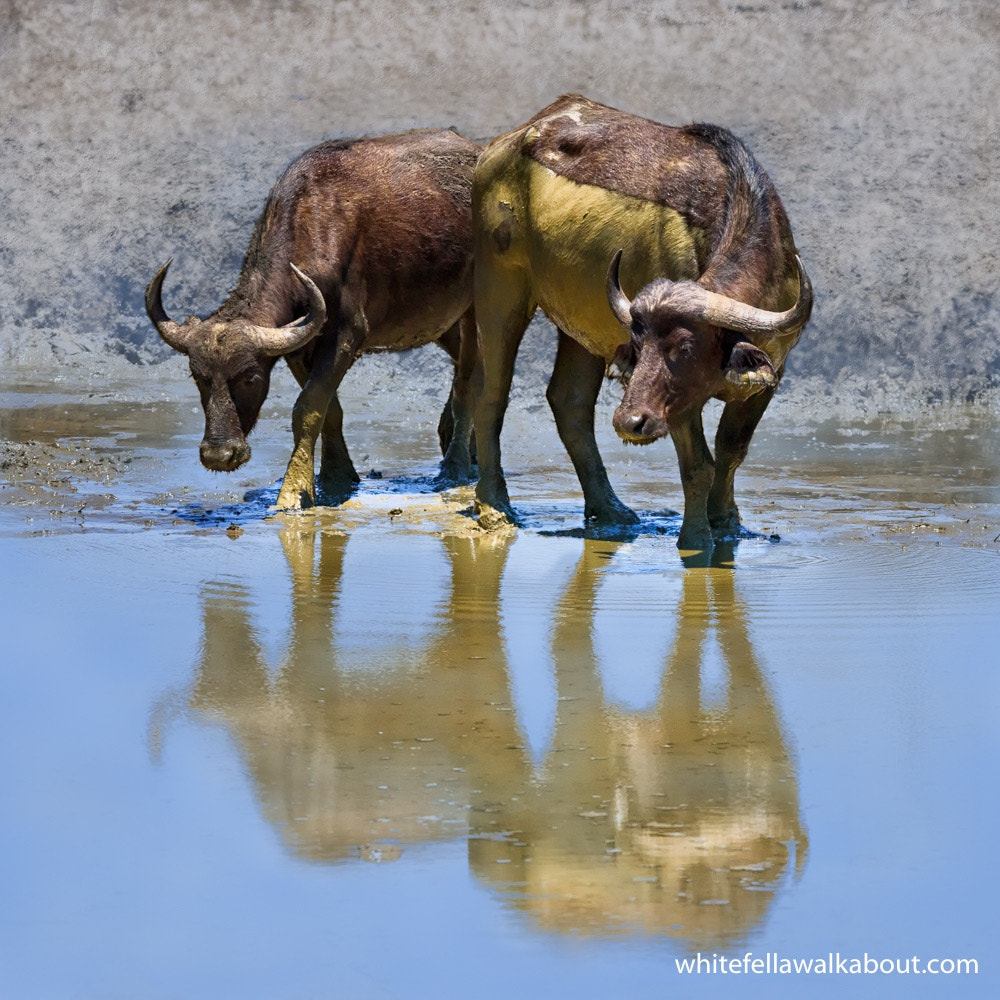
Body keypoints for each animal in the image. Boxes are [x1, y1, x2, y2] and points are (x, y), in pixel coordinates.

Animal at [144, 127, 480, 508]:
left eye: (250, 378)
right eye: (198, 377)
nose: (219, 455)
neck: (314, 231)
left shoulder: (345, 337)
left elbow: (307, 408)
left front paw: (293, 490)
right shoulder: (298, 347)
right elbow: (330, 410)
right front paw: (337, 477)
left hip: (473, 308)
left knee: (469, 379)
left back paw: (456, 466)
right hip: (444, 323)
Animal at [470, 96, 812, 552]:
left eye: (683, 348)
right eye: (639, 349)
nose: (628, 423)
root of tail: (511, 140)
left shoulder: (772, 372)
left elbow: (731, 451)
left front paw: (726, 522)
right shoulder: (681, 402)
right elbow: (698, 465)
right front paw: (696, 538)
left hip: (580, 328)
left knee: (569, 403)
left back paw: (611, 510)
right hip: (499, 289)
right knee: (491, 394)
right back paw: (494, 507)